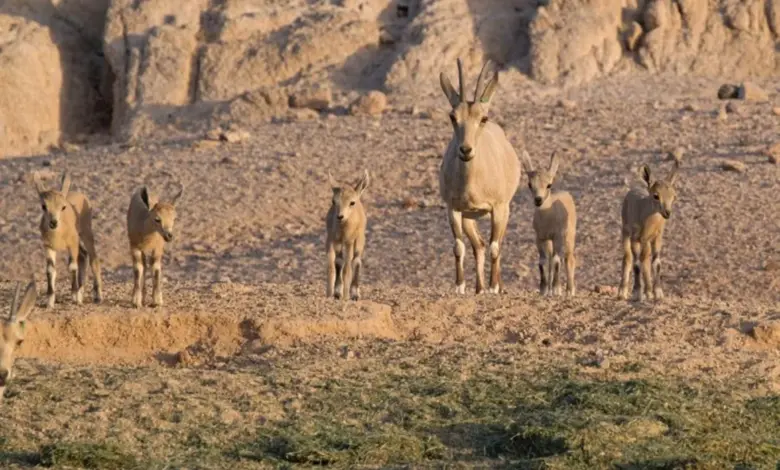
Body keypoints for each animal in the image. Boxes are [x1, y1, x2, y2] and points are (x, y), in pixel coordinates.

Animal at [33, 171, 103, 306]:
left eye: (63, 207)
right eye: (44, 206)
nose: (53, 223)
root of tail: (82, 195)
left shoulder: (72, 244)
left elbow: (72, 266)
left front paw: (74, 296)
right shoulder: (48, 246)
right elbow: (50, 270)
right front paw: (49, 301)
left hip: (85, 233)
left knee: (93, 258)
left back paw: (97, 296)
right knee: (83, 255)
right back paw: (81, 291)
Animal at [127, 177, 184, 308]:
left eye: (174, 218)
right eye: (157, 219)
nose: (169, 236)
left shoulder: (157, 248)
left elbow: (156, 269)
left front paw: (157, 301)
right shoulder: (135, 247)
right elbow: (138, 269)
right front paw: (136, 301)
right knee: (143, 266)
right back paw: (142, 296)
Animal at [326, 171, 368, 300]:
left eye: (352, 202)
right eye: (333, 201)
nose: (340, 217)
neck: (343, 230)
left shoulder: (350, 241)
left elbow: (348, 268)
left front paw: (346, 296)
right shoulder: (334, 239)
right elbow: (336, 263)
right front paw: (334, 293)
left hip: (359, 240)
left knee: (356, 261)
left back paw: (354, 293)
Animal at [520, 151, 576, 296]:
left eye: (548, 185)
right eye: (529, 184)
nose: (538, 200)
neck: (548, 218)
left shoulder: (557, 236)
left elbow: (557, 260)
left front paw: (557, 289)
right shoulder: (540, 238)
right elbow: (543, 261)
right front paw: (543, 289)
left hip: (569, 236)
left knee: (568, 259)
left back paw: (570, 290)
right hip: (549, 241)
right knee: (550, 260)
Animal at [620, 162, 680, 302]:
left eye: (674, 196)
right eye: (656, 195)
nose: (667, 213)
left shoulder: (656, 238)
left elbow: (656, 263)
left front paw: (658, 293)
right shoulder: (635, 238)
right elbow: (636, 264)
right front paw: (637, 292)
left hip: (645, 242)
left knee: (645, 259)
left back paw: (648, 291)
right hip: (625, 231)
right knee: (628, 258)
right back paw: (622, 292)